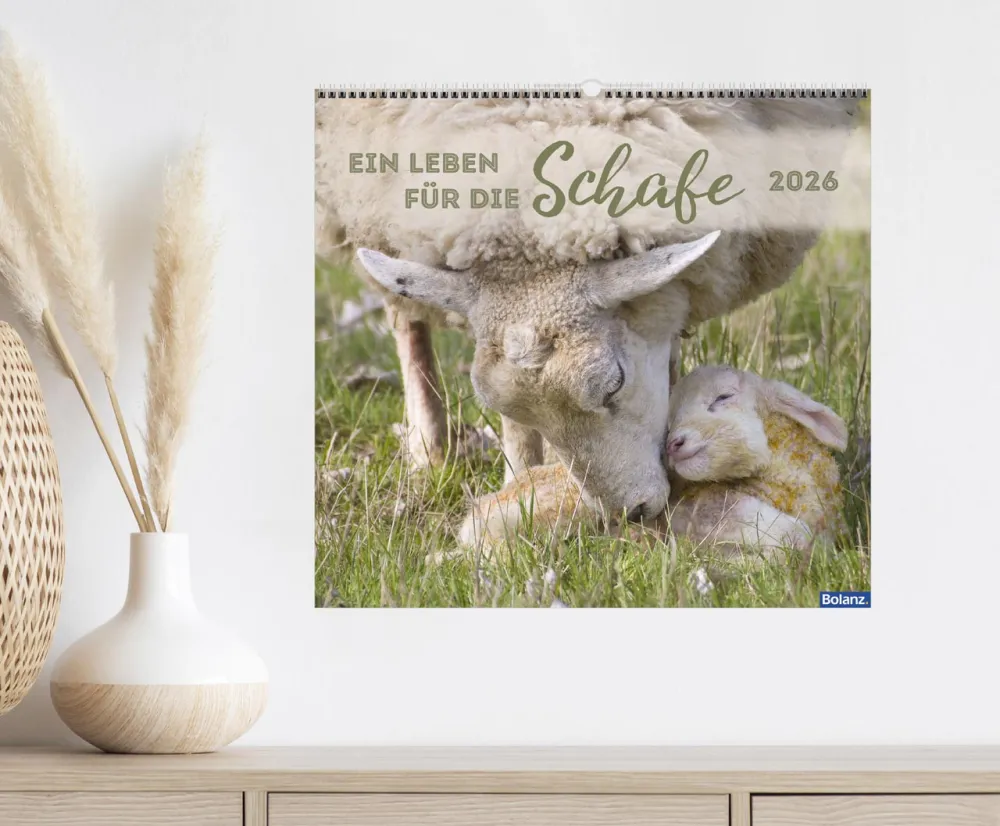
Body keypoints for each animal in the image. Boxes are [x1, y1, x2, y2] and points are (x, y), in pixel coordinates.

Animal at [316, 96, 861, 519]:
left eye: (614, 384)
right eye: (501, 406)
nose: (631, 515)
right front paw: (521, 482)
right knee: (403, 315)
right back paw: (430, 453)